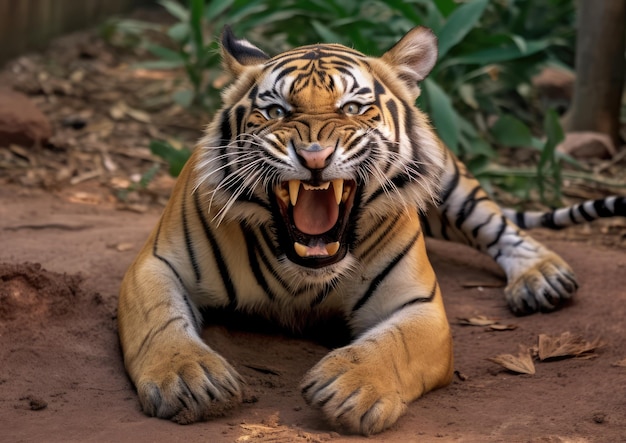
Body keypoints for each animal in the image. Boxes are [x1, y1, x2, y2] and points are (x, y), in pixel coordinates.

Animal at [118, 26, 624, 436]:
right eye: (277, 111)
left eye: (354, 108)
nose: (314, 156)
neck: (301, 274)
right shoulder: (155, 266)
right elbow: (160, 322)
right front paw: (189, 379)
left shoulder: (418, 304)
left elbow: (393, 345)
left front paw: (350, 386)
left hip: (451, 179)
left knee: (496, 224)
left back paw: (541, 277)